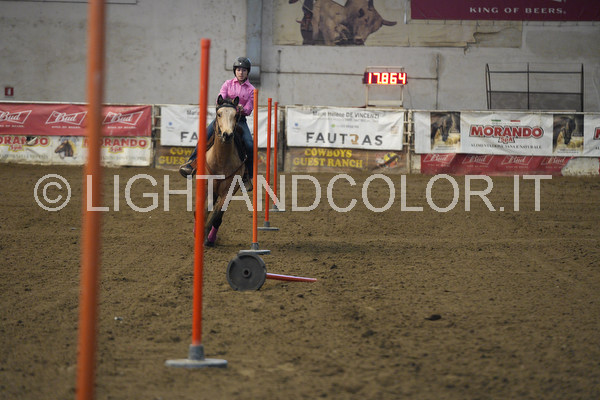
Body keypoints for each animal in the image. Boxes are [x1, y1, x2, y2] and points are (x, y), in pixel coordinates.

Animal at [197, 95, 246, 247]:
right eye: (219, 114)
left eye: (235, 115)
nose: (227, 135)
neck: (221, 160)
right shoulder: (208, 187)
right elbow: (205, 210)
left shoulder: (229, 191)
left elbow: (217, 215)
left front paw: (207, 238)